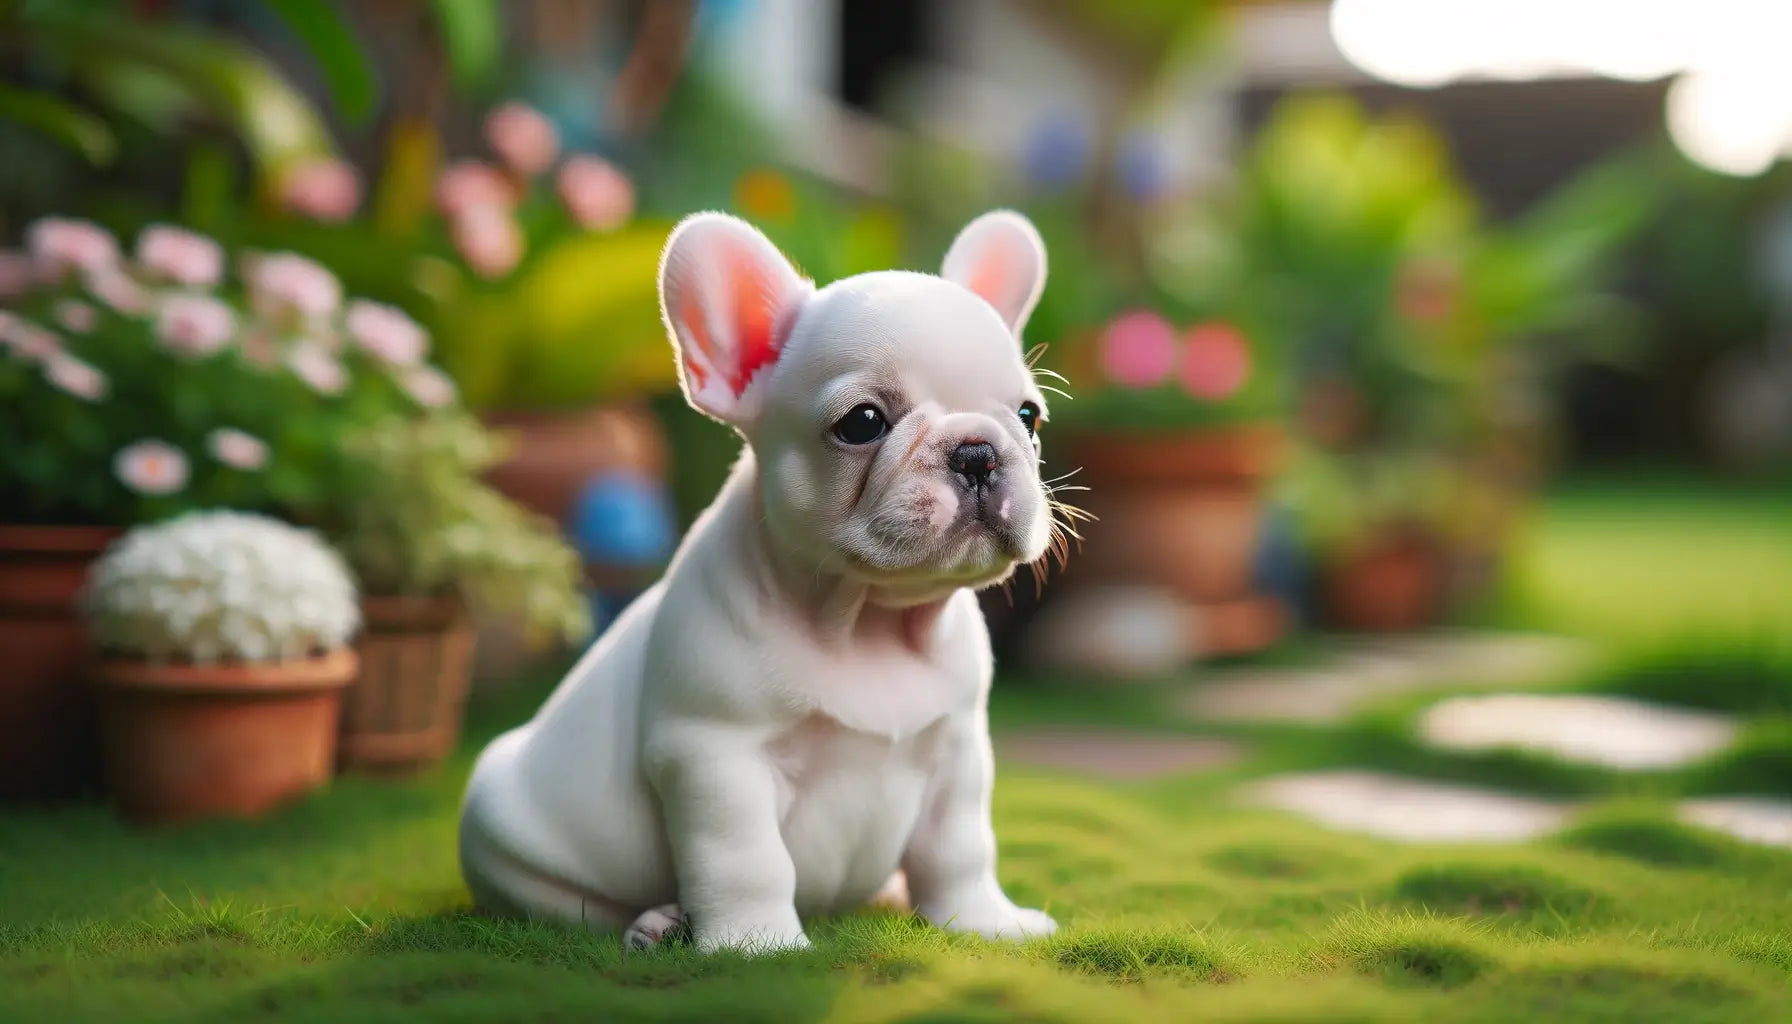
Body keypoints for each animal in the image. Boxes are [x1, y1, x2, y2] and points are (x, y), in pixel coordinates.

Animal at [458, 212, 1060, 961]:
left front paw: (983, 923)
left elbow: (960, 848)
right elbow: (746, 858)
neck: (867, 621)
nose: (977, 451)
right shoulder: (716, 755)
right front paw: (758, 946)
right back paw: (656, 925)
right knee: (578, 909)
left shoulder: (957, 752)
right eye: (862, 423)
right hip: (501, 835)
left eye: (1029, 417)